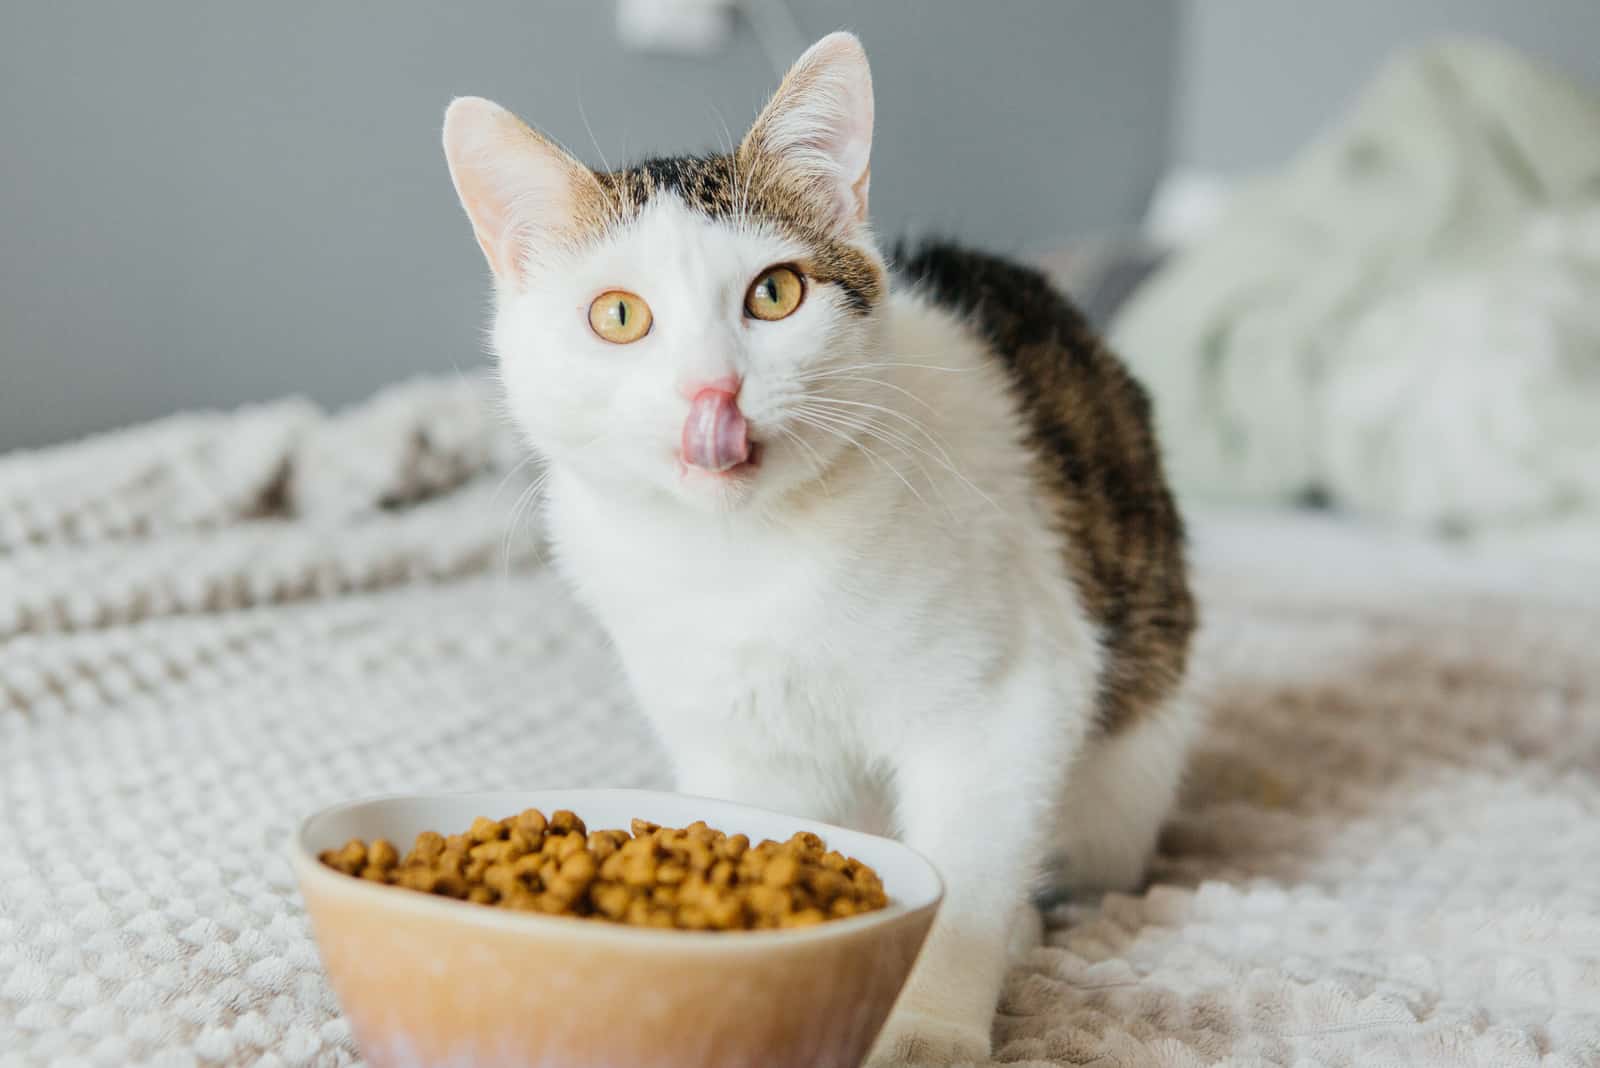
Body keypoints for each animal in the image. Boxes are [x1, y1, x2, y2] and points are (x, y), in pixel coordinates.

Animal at [444, 29, 1196, 1061]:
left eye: (776, 293)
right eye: (619, 315)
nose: (712, 391)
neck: (748, 557)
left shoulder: (1013, 690)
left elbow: (971, 861)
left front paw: (930, 1022)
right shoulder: (739, 746)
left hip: (1130, 772)